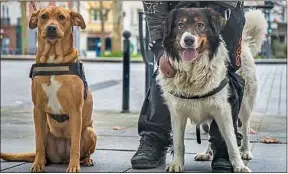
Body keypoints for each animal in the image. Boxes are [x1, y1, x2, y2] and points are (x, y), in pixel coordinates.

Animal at [0, 6, 97, 172]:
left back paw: (85, 160)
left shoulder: (75, 110)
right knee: (44, 150)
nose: (51, 28)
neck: (53, 62)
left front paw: (74, 166)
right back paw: (44, 161)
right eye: (43, 16)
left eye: (62, 17)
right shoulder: (38, 109)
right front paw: (38, 164)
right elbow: (38, 143)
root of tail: (62, 158)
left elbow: (75, 145)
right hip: (46, 131)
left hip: (90, 132)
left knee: (83, 150)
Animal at [158, 8, 268, 173]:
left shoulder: (223, 110)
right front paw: (176, 163)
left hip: (245, 105)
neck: (193, 72)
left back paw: (246, 151)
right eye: (180, 25)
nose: (188, 40)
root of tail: (244, 44)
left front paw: (239, 165)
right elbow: (178, 142)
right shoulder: (177, 113)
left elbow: (231, 141)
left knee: (245, 127)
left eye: (200, 25)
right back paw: (207, 153)